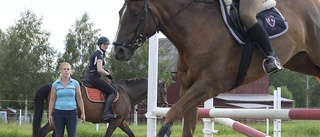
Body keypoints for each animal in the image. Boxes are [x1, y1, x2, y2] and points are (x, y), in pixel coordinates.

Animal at [32, 78, 168, 137]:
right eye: (165, 92)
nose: (165, 105)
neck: (126, 92)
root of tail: (52, 86)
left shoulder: (121, 122)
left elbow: (132, 134)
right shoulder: (115, 122)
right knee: (42, 132)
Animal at [111, 0, 320, 136]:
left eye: (135, 13)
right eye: (119, 12)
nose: (118, 51)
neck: (197, 29)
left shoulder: (209, 85)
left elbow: (172, 114)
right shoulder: (187, 87)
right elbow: (187, 126)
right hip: (303, 61)